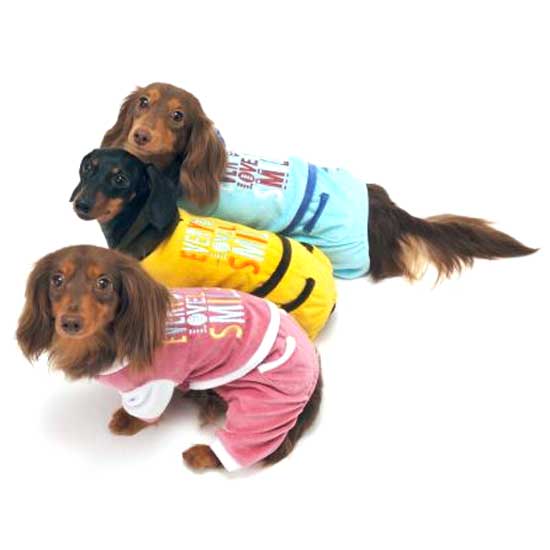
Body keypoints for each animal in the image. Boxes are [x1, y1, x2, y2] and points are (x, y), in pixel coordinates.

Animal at [16, 245, 322, 471]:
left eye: (104, 283)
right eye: (57, 280)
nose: (70, 323)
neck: (109, 339)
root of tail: (316, 366)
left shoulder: (156, 383)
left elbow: (144, 412)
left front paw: (128, 421)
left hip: (267, 401)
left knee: (251, 444)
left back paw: (204, 454)